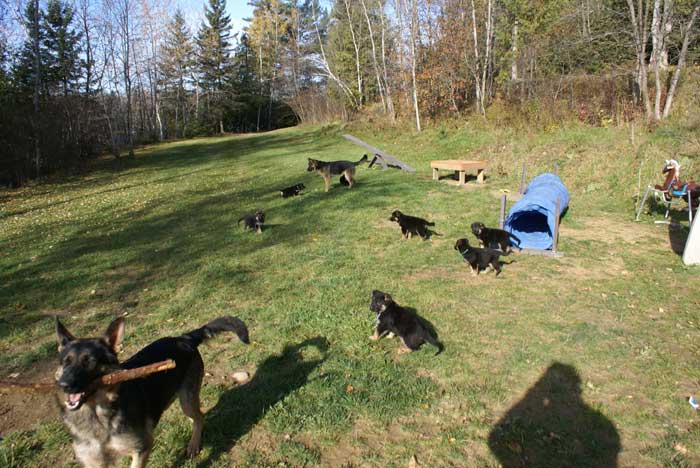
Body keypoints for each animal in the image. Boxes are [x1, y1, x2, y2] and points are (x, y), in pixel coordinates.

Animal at [56, 314, 250, 468]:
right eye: (65, 362)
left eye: (90, 362)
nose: (64, 384)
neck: (96, 414)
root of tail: (183, 338)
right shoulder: (95, 461)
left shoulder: (141, 448)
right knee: (196, 416)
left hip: (186, 399)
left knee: (199, 417)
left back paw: (194, 444)